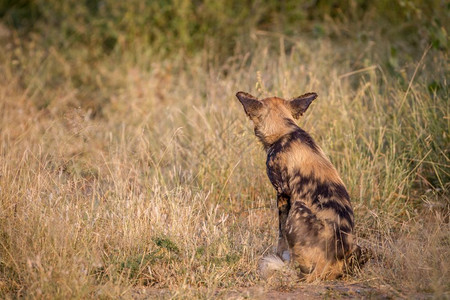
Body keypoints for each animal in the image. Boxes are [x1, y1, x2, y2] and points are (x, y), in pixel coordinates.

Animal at [236, 89, 358, 282]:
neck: (284, 131)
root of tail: (327, 266)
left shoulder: (282, 192)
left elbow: (280, 234)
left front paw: (280, 256)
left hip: (298, 209)